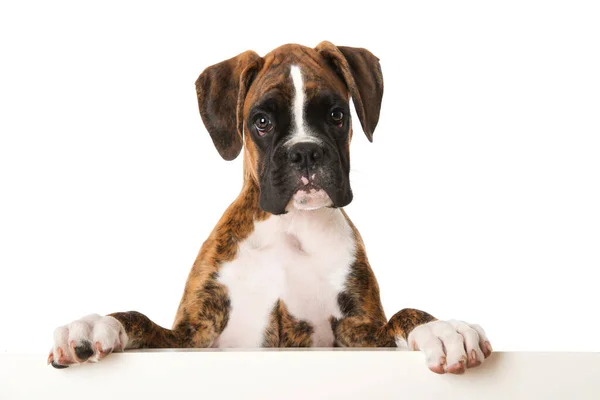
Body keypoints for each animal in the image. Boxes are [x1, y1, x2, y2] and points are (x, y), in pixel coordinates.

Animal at [49, 42, 492, 374]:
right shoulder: (192, 335)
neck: (289, 225)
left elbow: (404, 313)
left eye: (337, 115)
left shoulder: (358, 334)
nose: (306, 153)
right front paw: (94, 324)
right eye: (261, 121)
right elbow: (139, 318)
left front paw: (443, 329)